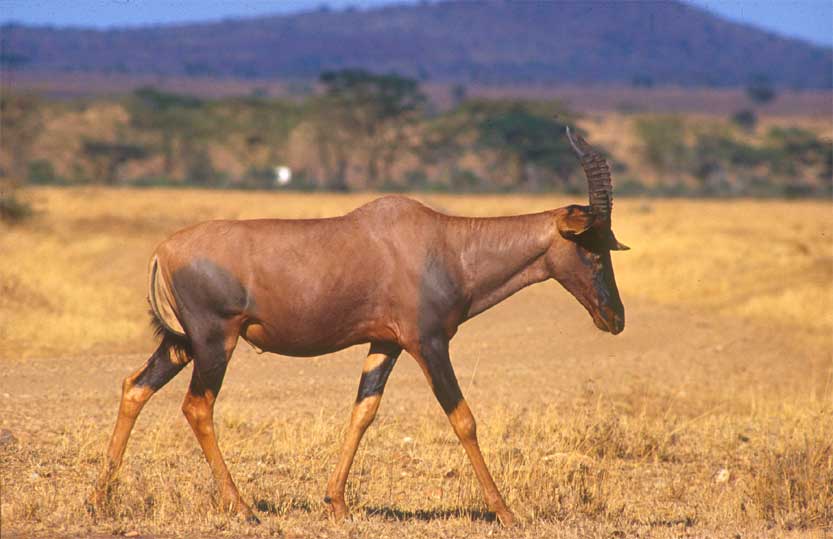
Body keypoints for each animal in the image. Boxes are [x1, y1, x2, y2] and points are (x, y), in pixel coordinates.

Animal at [89, 127, 624, 528]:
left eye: (608, 243)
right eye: (591, 248)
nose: (615, 318)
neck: (444, 243)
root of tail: (163, 251)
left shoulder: (384, 343)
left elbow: (363, 412)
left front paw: (337, 504)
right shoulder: (428, 344)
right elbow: (463, 418)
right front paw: (507, 512)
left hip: (180, 344)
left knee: (135, 387)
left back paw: (100, 499)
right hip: (214, 341)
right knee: (197, 406)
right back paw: (242, 509)